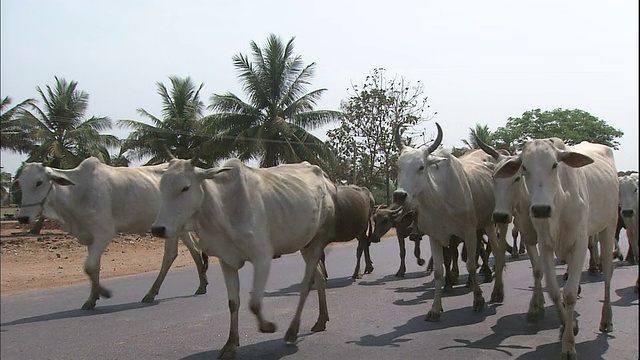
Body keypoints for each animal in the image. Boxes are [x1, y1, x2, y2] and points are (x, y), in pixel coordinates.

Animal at [15, 158, 208, 310]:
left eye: (39, 182)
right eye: (20, 183)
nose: (23, 218)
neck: (78, 192)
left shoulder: (104, 232)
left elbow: (89, 266)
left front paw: (103, 292)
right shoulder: (90, 237)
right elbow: (94, 267)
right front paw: (92, 298)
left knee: (170, 255)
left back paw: (151, 293)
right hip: (176, 227)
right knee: (194, 250)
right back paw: (201, 285)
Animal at [150, 158, 372, 360]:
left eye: (185, 188)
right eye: (161, 188)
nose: (158, 229)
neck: (222, 207)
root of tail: (325, 179)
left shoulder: (262, 257)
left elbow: (255, 303)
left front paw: (268, 326)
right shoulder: (226, 261)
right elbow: (233, 303)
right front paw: (231, 344)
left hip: (318, 240)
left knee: (306, 284)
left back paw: (293, 329)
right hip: (306, 244)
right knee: (319, 278)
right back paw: (321, 320)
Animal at [390, 124, 504, 320]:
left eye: (421, 167)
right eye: (399, 166)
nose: (399, 195)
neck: (439, 201)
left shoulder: (469, 231)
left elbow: (471, 265)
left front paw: (478, 300)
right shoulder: (435, 236)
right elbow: (438, 272)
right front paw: (435, 309)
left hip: (492, 222)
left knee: (497, 251)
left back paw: (497, 292)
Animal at [492, 139, 616, 358]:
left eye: (554, 165)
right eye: (524, 168)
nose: (541, 209)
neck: (559, 201)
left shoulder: (579, 244)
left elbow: (570, 294)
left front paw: (568, 345)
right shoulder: (544, 244)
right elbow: (554, 290)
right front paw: (567, 325)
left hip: (609, 226)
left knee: (608, 275)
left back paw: (606, 319)